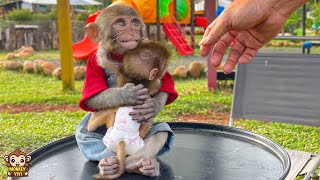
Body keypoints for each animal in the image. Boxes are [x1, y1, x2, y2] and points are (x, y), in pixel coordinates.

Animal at [88, 40, 170, 179]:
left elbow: (110, 64)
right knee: (152, 124)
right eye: (163, 68)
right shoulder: (153, 82)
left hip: (110, 135)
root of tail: (122, 140)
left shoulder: (123, 72)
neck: (136, 80)